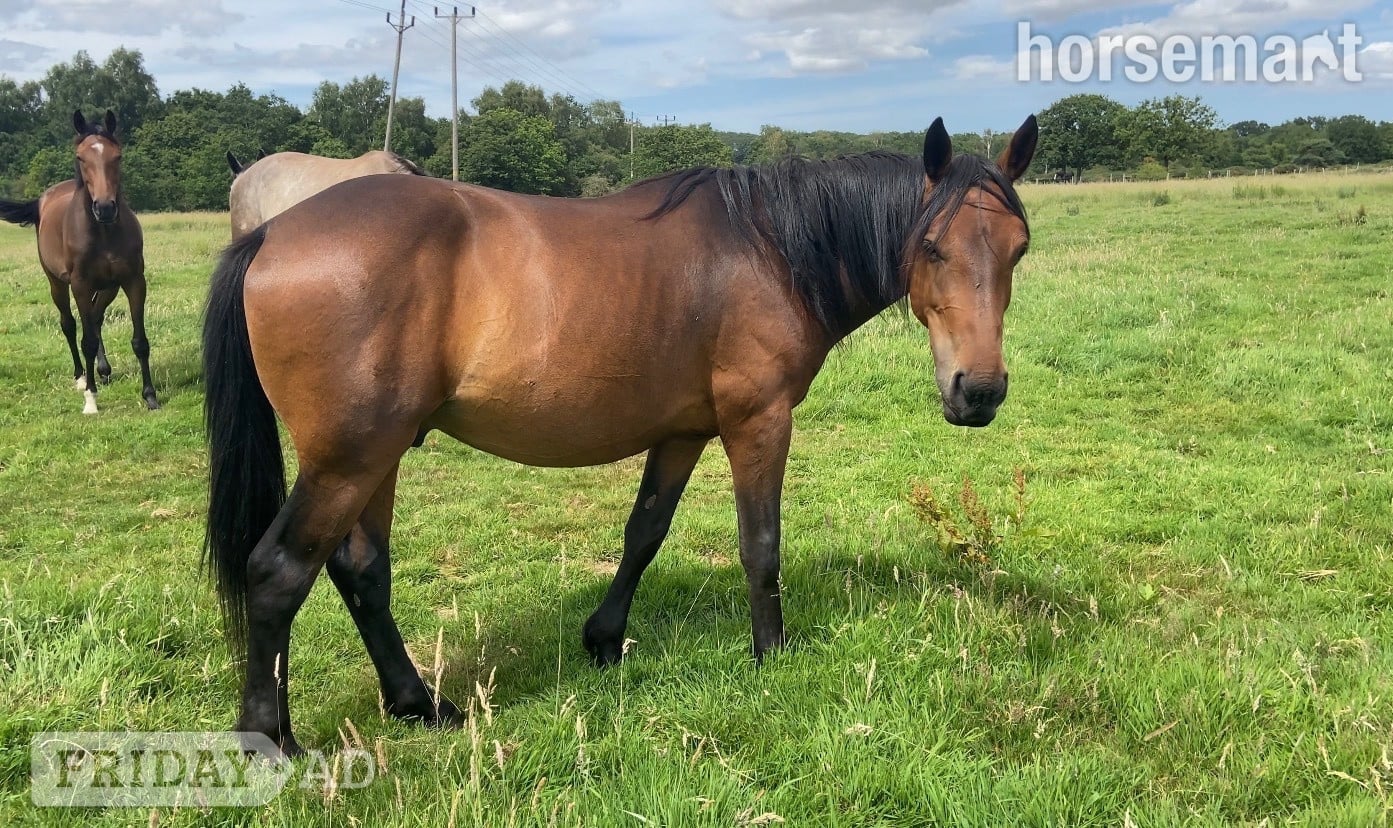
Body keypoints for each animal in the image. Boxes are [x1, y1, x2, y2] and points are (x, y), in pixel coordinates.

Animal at [0, 110, 159, 414]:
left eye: (117, 156)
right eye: (80, 157)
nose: (105, 207)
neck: (104, 232)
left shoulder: (133, 281)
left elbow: (139, 341)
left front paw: (150, 395)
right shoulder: (81, 286)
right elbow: (86, 340)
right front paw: (91, 400)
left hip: (108, 287)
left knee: (95, 318)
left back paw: (103, 370)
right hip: (57, 284)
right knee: (70, 325)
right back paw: (81, 376)